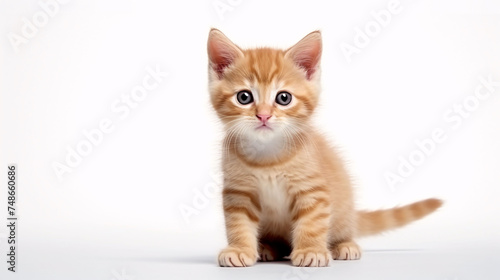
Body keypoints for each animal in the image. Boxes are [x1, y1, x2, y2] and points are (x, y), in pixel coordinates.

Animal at [206, 29, 442, 268]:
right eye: (244, 97)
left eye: (284, 98)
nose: (263, 115)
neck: (268, 157)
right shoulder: (238, 192)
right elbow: (238, 223)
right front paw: (239, 249)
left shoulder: (313, 190)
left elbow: (312, 222)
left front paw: (311, 250)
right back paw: (267, 247)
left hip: (343, 212)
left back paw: (344, 245)